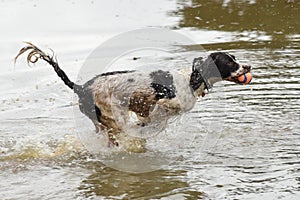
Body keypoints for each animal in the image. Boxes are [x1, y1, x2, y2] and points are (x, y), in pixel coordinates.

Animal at [15, 41, 252, 152]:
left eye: (234, 58)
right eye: (229, 61)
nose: (248, 66)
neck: (189, 81)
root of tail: (81, 87)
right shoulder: (162, 102)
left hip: (102, 122)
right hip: (113, 116)